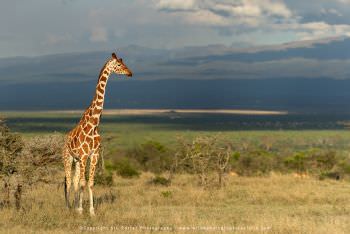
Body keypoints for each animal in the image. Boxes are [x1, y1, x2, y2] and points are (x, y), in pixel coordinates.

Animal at [62, 52, 132, 215]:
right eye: (118, 64)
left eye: (123, 62)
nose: (129, 73)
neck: (94, 123)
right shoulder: (83, 155)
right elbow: (83, 183)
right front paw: (81, 209)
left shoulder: (93, 155)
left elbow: (90, 183)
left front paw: (90, 211)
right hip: (68, 158)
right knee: (68, 181)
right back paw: (68, 207)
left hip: (76, 160)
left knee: (74, 181)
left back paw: (74, 205)